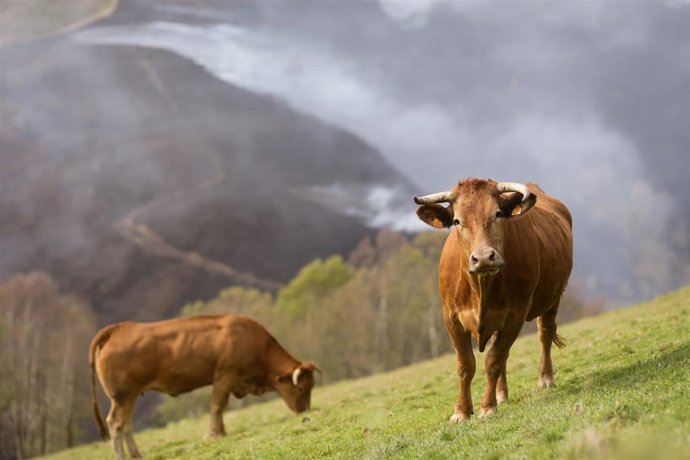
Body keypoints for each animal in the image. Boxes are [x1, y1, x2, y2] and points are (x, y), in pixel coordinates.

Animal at [89, 315, 320, 460]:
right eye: (301, 389)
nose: (305, 411)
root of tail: (118, 330)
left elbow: (220, 407)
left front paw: (221, 431)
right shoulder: (225, 377)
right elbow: (217, 406)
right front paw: (215, 433)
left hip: (131, 396)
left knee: (126, 425)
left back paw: (137, 454)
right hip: (122, 396)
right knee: (115, 423)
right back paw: (121, 456)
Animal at [414, 178, 572, 422]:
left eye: (497, 214)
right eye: (457, 221)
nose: (483, 257)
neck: (481, 288)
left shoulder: (515, 315)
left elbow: (494, 360)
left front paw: (487, 407)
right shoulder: (451, 317)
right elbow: (466, 364)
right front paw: (461, 411)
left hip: (553, 298)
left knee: (544, 334)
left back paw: (546, 379)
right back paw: (501, 394)